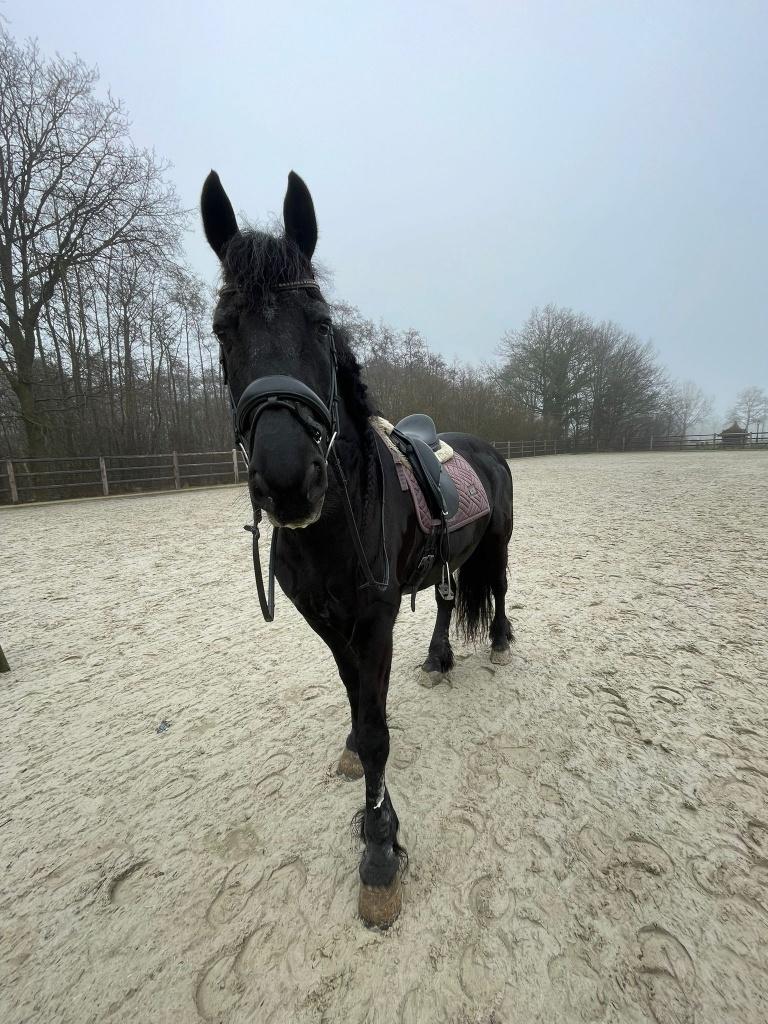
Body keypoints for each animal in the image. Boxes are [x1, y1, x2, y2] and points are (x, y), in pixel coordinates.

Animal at [200, 169, 514, 927]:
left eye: (320, 323)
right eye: (223, 330)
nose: (287, 478)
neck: (337, 520)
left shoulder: (372, 619)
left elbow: (376, 729)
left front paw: (378, 849)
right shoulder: (326, 619)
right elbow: (354, 702)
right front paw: (353, 755)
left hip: (500, 542)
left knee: (500, 589)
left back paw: (498, 643)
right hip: (444, 560)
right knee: (445, 602)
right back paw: (438, 659)